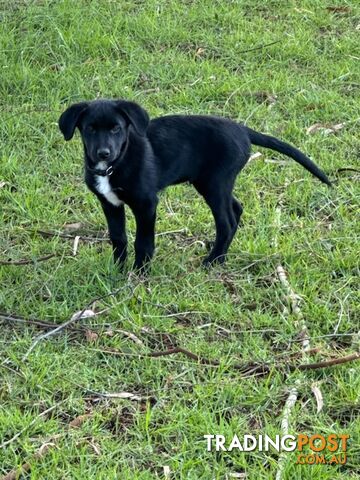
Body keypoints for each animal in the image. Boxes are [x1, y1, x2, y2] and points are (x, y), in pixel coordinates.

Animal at [59, 98, 332, 270]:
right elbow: (118, 238)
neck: (115, 165)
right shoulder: (110, 203)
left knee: (226, 222)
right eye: (90, 129)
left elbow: (143, 242)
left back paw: (212, 261)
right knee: (236, 208)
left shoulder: (146, 203)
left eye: (116, 128)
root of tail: (242, 130)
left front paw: (139, 273)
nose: (103, 153)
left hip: (214, 184)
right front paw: (117, 269)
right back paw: (219, 256)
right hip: (213, 183)